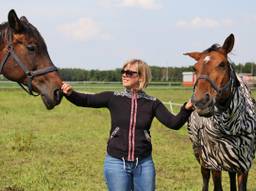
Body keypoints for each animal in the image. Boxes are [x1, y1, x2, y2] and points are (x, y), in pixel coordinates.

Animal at [185, 34, 256, 191]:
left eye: (222, 64)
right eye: (195, 68)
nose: (200, 102)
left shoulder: (244, 164)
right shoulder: (214, 162)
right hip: (199, 153)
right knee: (205, 176)